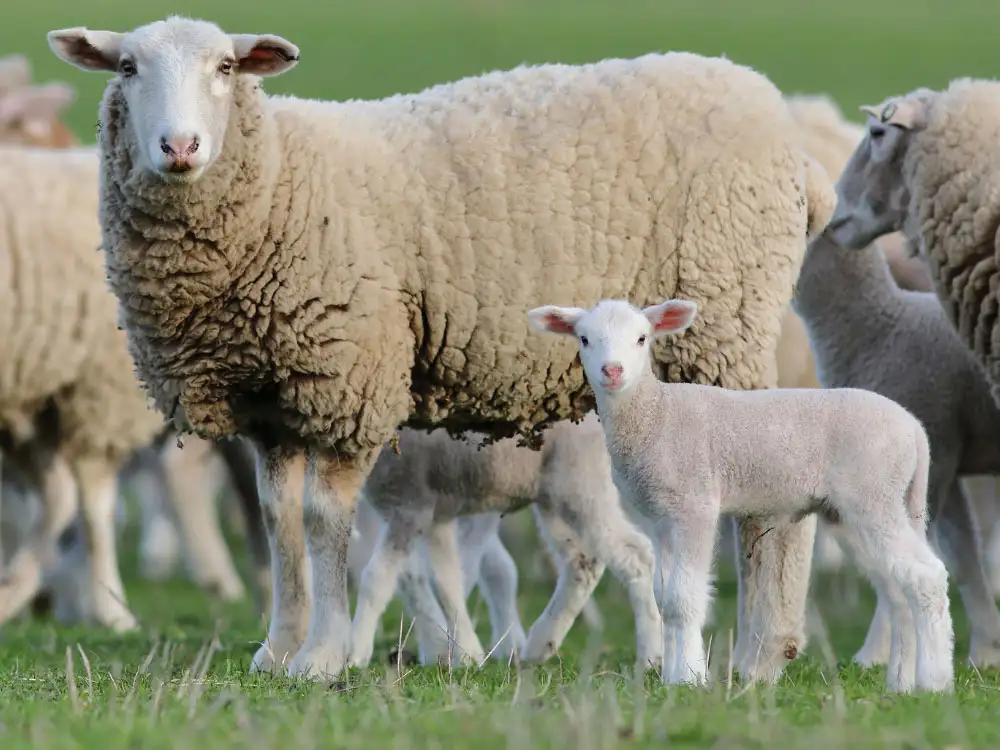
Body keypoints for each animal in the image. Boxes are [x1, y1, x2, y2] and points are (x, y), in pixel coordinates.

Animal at [349, 413, 661, 669]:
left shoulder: (412, 507)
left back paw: (650, 656)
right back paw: (540, 643)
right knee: (583, 561)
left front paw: (356, 654)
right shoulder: (434, 517)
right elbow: (442, 580)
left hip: (580, 483)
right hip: (553, 499)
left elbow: (378, 579)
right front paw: (459, 651)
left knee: (635, 554)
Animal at [527, 297, 955, 693]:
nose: (612, 371)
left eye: (642, 338)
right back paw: (900, 683)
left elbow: (684, 598)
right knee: (898, 587)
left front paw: (690, 678)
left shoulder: (694, 504)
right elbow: (664, 597)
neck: (656, 413)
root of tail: (914, 430)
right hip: (863, 508)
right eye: (584, 339)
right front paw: (670, 676)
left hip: (873, 495)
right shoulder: (661, 518)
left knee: (927, 576)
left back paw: (935, 681)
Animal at [789, 93, 1000, 668]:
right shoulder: (943, 457)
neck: (879, 324)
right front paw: (984, 651)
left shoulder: (928, 452)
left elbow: (907, 556)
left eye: (879, 134)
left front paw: (878, 653)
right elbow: (962, 559)